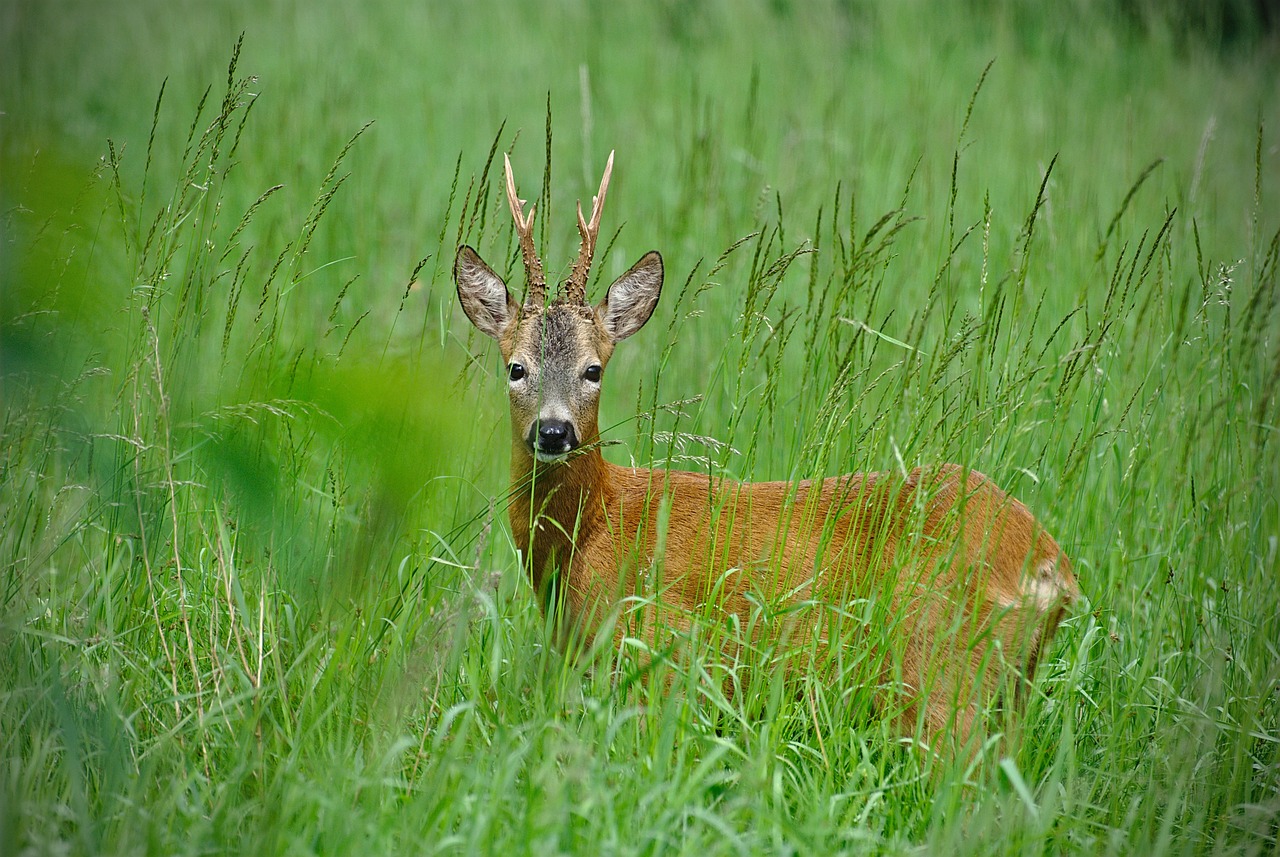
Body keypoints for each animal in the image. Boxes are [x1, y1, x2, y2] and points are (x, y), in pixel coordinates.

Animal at [455, 150, 1075, 757]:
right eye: (516, 368)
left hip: (939, 667)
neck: (594, 530)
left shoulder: (664, 652)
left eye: (593, 370)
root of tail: (1049, 564)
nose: (553, 431)